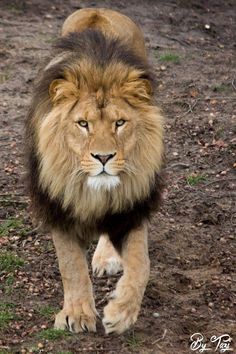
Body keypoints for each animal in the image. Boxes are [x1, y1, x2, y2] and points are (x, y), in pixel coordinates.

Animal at [24, 8, 164, 334]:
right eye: (83, 124)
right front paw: (77, 313)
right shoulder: (58, 203)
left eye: (120, 123)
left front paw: (121, 312)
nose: (103, 157)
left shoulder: (132, 205)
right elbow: (70, 264)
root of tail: (98, 9)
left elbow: (142, 265)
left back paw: (107, 257)